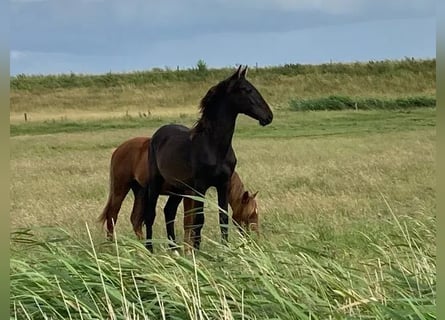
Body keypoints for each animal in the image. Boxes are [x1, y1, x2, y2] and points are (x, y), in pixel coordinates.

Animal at [97, 136, 256, 242]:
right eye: (250, 215)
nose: (254, 237)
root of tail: (118, 149)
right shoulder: (188, 194)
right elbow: (190, 220)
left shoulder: (180, 195)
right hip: (120, 188)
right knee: (112, 216)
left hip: (140, 190)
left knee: (135, 219)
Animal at [144, 65, 272, 252]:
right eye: (246, 89)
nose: (268, 116)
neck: (214, 147)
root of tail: (157, 135)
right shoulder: (200, 187)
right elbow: (199, 219)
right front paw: (198, 251)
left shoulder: (222, 184)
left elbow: (223, 218)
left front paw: (225, 250)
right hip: (156, 182)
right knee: (150, 214)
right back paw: (150, 249)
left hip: (178, 187)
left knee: (169, 211)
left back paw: (174, 249)